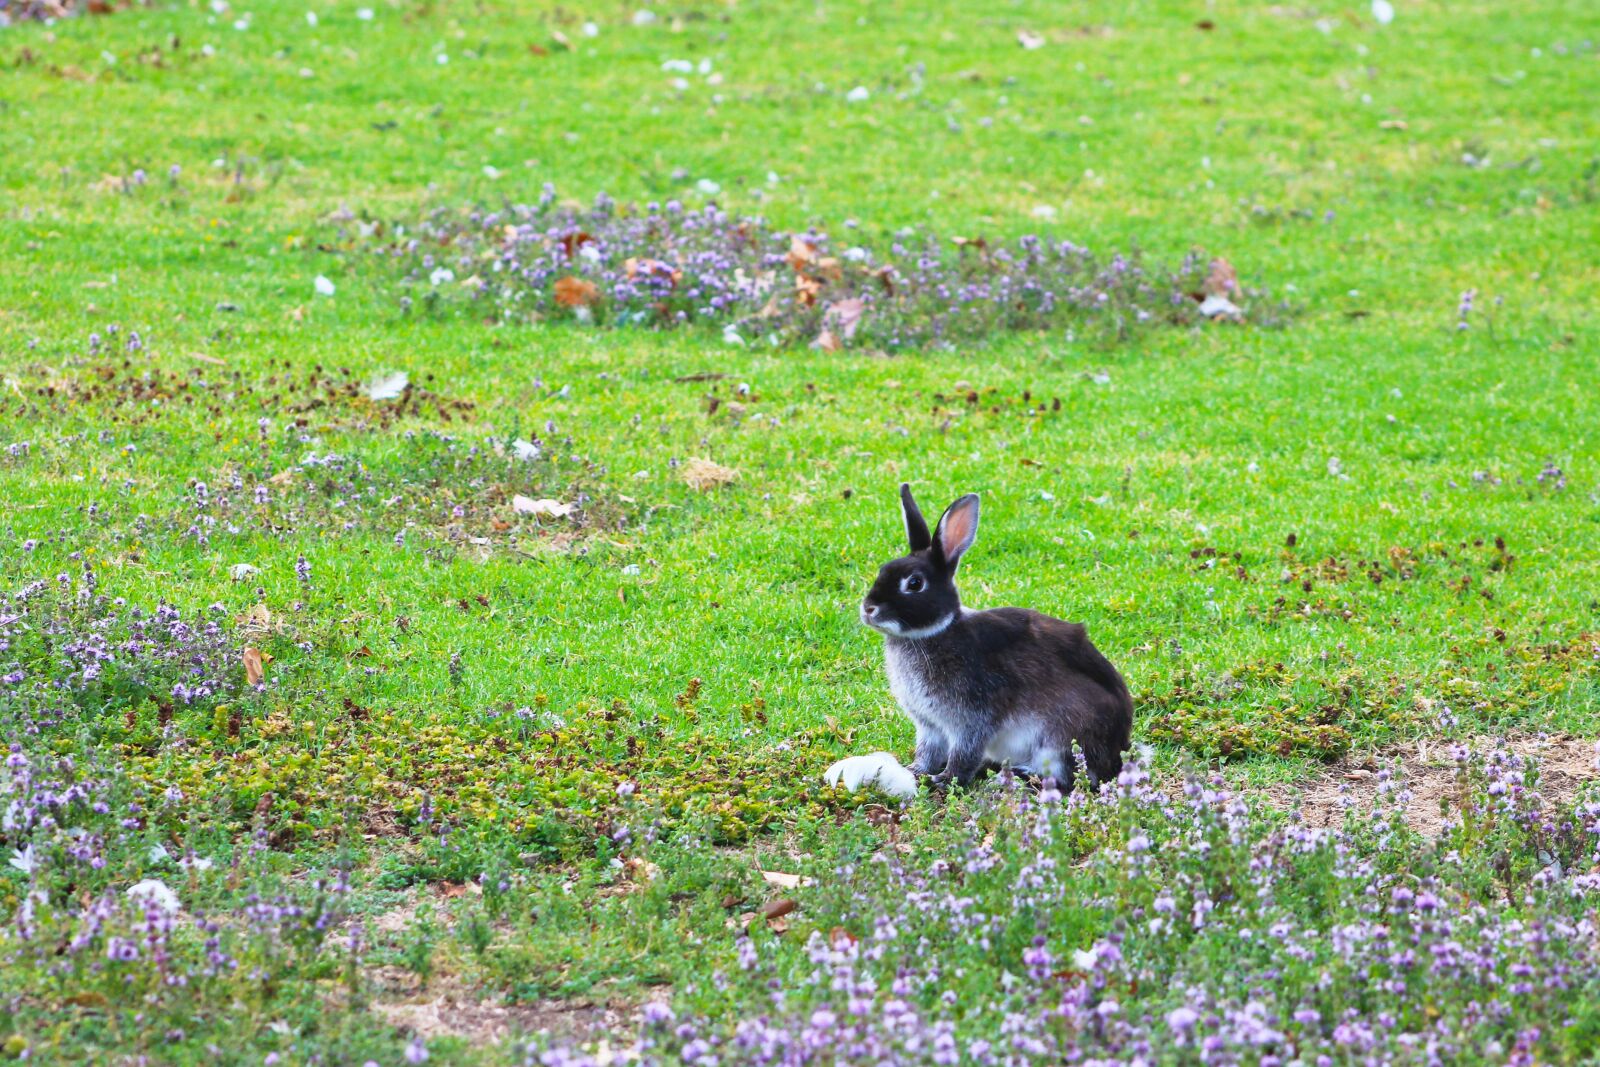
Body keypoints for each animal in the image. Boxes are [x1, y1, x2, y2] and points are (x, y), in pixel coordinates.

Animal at [858, 484, 1133, 791]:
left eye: (914, 583)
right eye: (882, 570)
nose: (868, 608)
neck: (935, 632)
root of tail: (1117, 754)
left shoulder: (972, 717)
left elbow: (965, 752)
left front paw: (946, 780)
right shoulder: (929, 726)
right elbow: (928, 751)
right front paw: (917, 771)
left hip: (1059, 738)